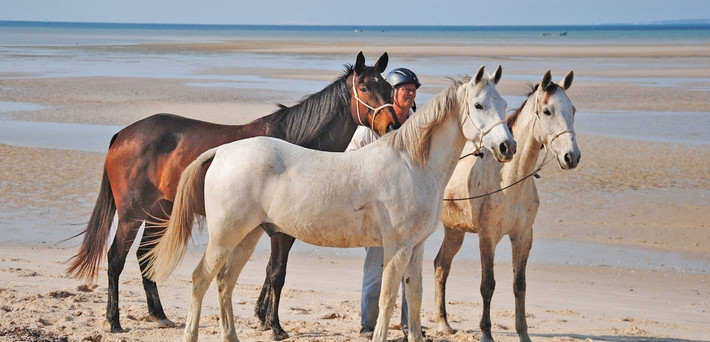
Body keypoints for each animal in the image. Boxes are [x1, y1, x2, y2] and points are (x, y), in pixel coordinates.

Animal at [65, 51, 400, 334]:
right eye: (365, 88)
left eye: (386, 87)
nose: (392, 125)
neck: (295, 144)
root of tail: (124, 133)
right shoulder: (281, 231)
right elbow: (277, 274)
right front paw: (275, 326)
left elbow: (270, 272)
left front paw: (262, 317)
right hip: (131, 216)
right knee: (115, 259)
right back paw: (114, 321)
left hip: (159, 213)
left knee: (144, 256)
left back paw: (159, 316)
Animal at [143, 65, 516, 340]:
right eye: (479, 105)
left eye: (503, 105)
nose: (507, 147)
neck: (412, 163)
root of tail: (221, 151)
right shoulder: (397, 248)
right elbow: (387, 300)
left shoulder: (415, 247)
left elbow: (413, 297)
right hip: (224, 237)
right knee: (201, 279)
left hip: (247, 236)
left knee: (224, 282)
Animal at [436, 70, 580, 342]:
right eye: (547, 111)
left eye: (573, 110)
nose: (572, 156)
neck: (509, 181)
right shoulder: (488, 237)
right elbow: (488, 285)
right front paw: (486, 333)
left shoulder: (523, 237)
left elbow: (519, 285)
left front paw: (523, 333)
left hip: (454, 231)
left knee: (441, 266)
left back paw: (443, 324)